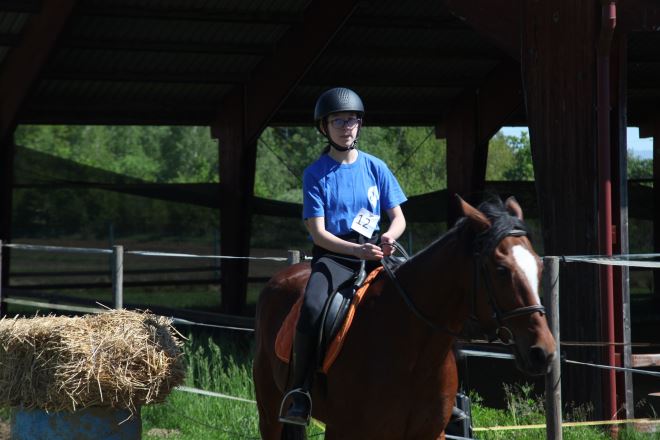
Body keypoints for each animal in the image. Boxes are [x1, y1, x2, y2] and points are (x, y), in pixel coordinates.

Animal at [253, 196, 556, 440]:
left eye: (539, 266)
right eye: (501, 269)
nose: (543, 352)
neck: (415, 354)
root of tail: (281, 277)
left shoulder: (429, 433)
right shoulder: (345, 430)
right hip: (269, 409)